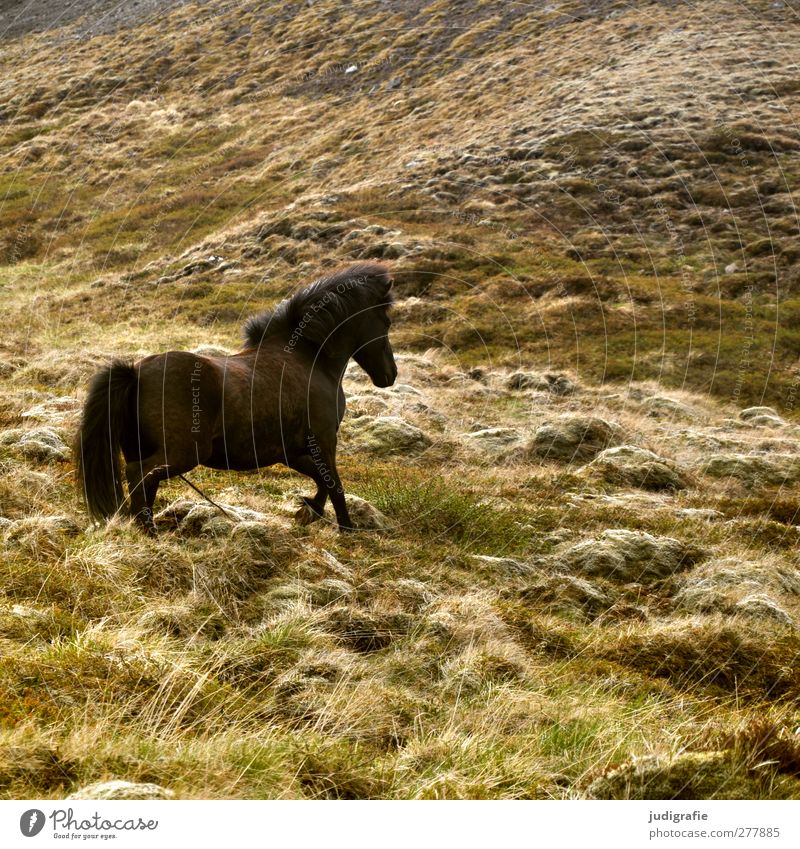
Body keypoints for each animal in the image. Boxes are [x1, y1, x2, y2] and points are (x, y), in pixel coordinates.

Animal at [74, 262, 396, 532]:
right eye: (386, 322)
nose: (390, 374)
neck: (308, 359)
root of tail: (136, 373)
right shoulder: (323, 440)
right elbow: (334, 486)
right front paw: (346, 529)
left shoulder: (291, 450)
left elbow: (320, 481)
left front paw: (308, 511)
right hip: (183, 453)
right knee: (138, 475)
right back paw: (148, 532)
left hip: (141, 447)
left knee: (145, 485)